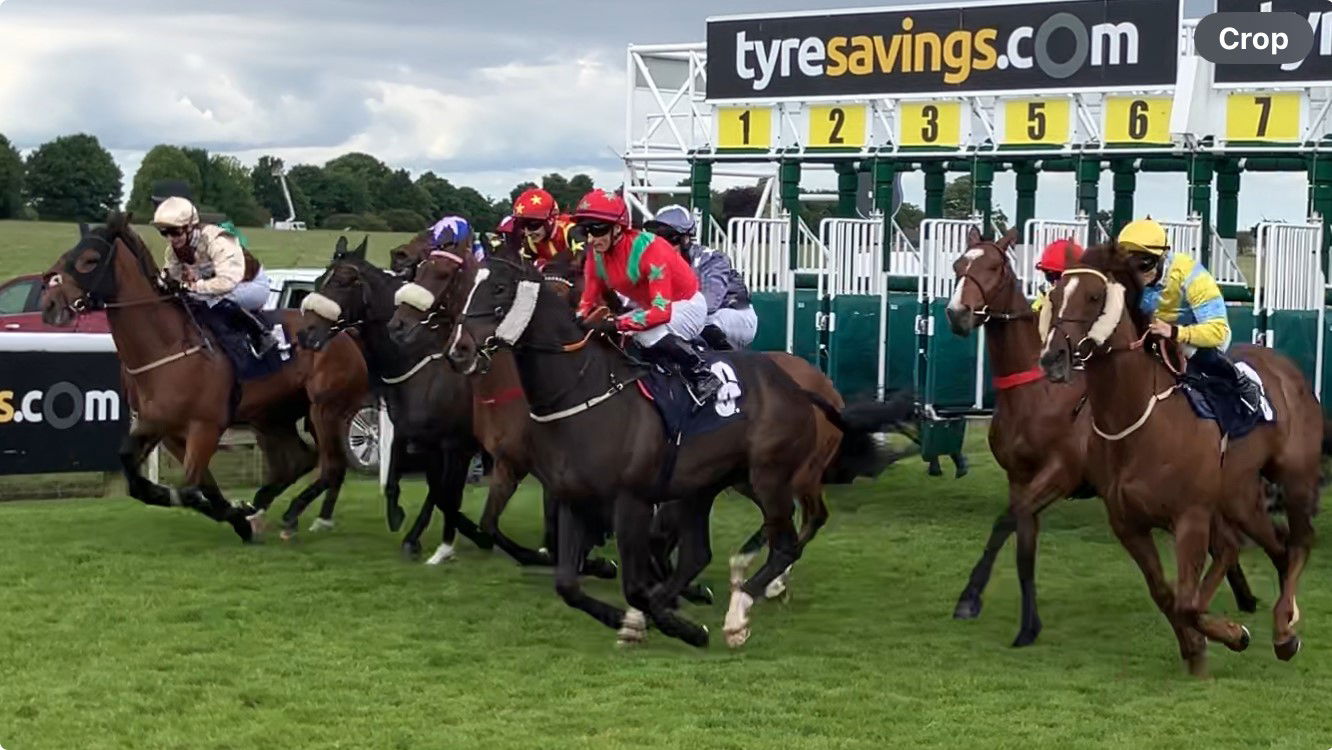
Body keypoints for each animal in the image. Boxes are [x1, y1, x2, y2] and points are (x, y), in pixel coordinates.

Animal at [39, 214, 367, 543]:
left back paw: (294, 515)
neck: (166, 345)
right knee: (301, 460)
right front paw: (240, 518)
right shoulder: (160, 425)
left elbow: (189, 489)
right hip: (272, 416)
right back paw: (260, 505)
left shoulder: (205, 426)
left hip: (326, 409)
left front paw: (237, 516)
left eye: (89, 260)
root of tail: (343, 332)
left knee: (332, 466)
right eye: (67, 255)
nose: (49, 304)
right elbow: (147, 481)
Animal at [943, 229, 1252, 644]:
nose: (957, 313)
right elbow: (1024, 548)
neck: (1037, 392)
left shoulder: (1061, 473)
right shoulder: (1019, 476)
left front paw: (970, 597)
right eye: (958, 265)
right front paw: (1028, 626)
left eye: (993, 267)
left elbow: (1007, 520)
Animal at [1038, 243, 1321, 676]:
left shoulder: (1189, 517)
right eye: (1054, 296)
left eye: (1094, 296)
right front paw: (1197, 647)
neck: (1138, 423)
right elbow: (1166, 595)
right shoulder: (1128, 524)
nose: (1053, 357)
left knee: (1300, 541)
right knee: (1270, 546)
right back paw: (1279, 621)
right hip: (1237, 496)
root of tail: (1288, 368)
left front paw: (1232, 635)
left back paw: (1284, 632)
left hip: (1295, 478)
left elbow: (1185, 602)